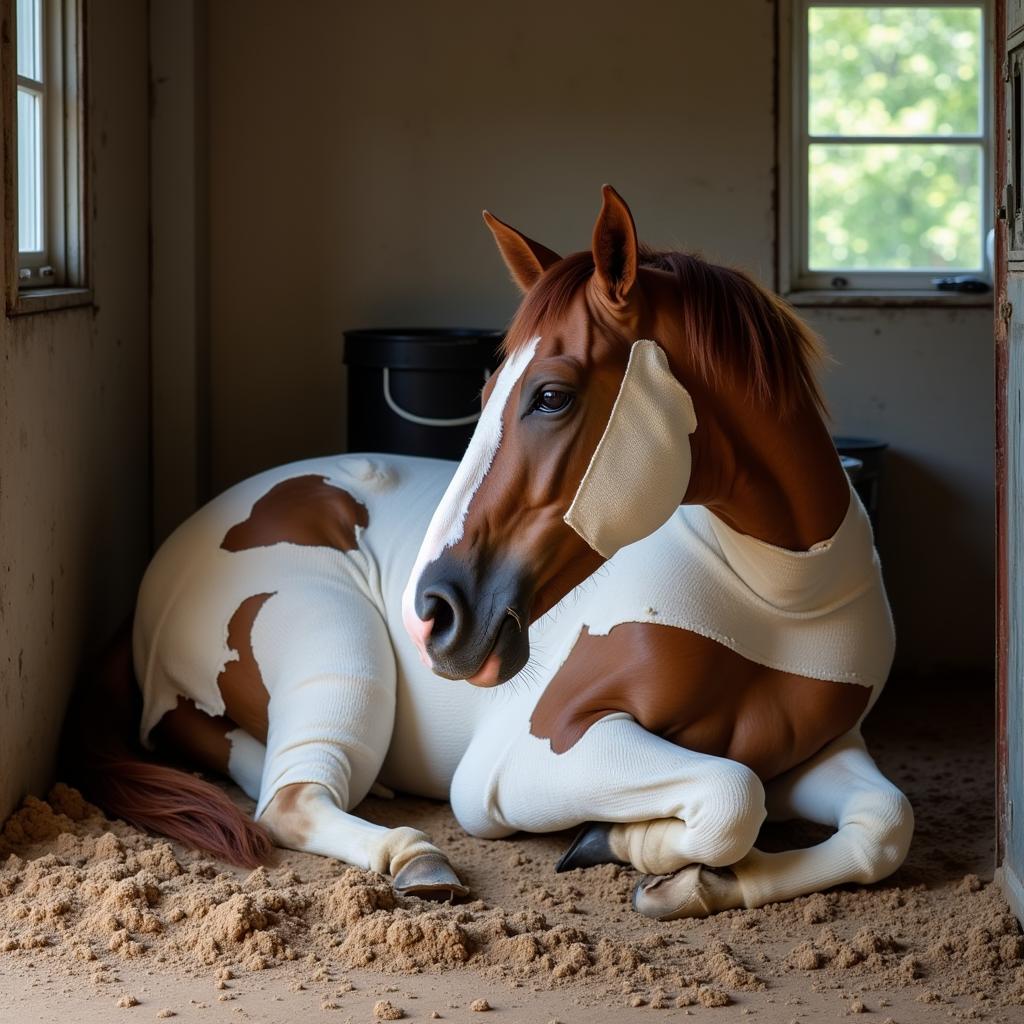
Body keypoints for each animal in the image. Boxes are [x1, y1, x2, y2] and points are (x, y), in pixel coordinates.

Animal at [399, 186, 913, 921]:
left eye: (551, 396)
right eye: (485, 393)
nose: (430, 614)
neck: (779, 597)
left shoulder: (826, 749)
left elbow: (884, 825)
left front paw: (691, 880)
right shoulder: (514, 763)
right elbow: (734, 794)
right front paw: (623, 841)